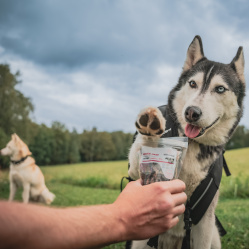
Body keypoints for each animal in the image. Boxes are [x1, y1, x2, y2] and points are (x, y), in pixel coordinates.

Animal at [128, 36, 245, 249]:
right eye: (192, 83)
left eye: (220, 89)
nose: (191, 112)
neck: (191, 143)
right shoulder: (135, 170)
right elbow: (140, 152)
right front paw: (150, 123)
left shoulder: (204, 224)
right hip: (141, 240)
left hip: (214, 235)